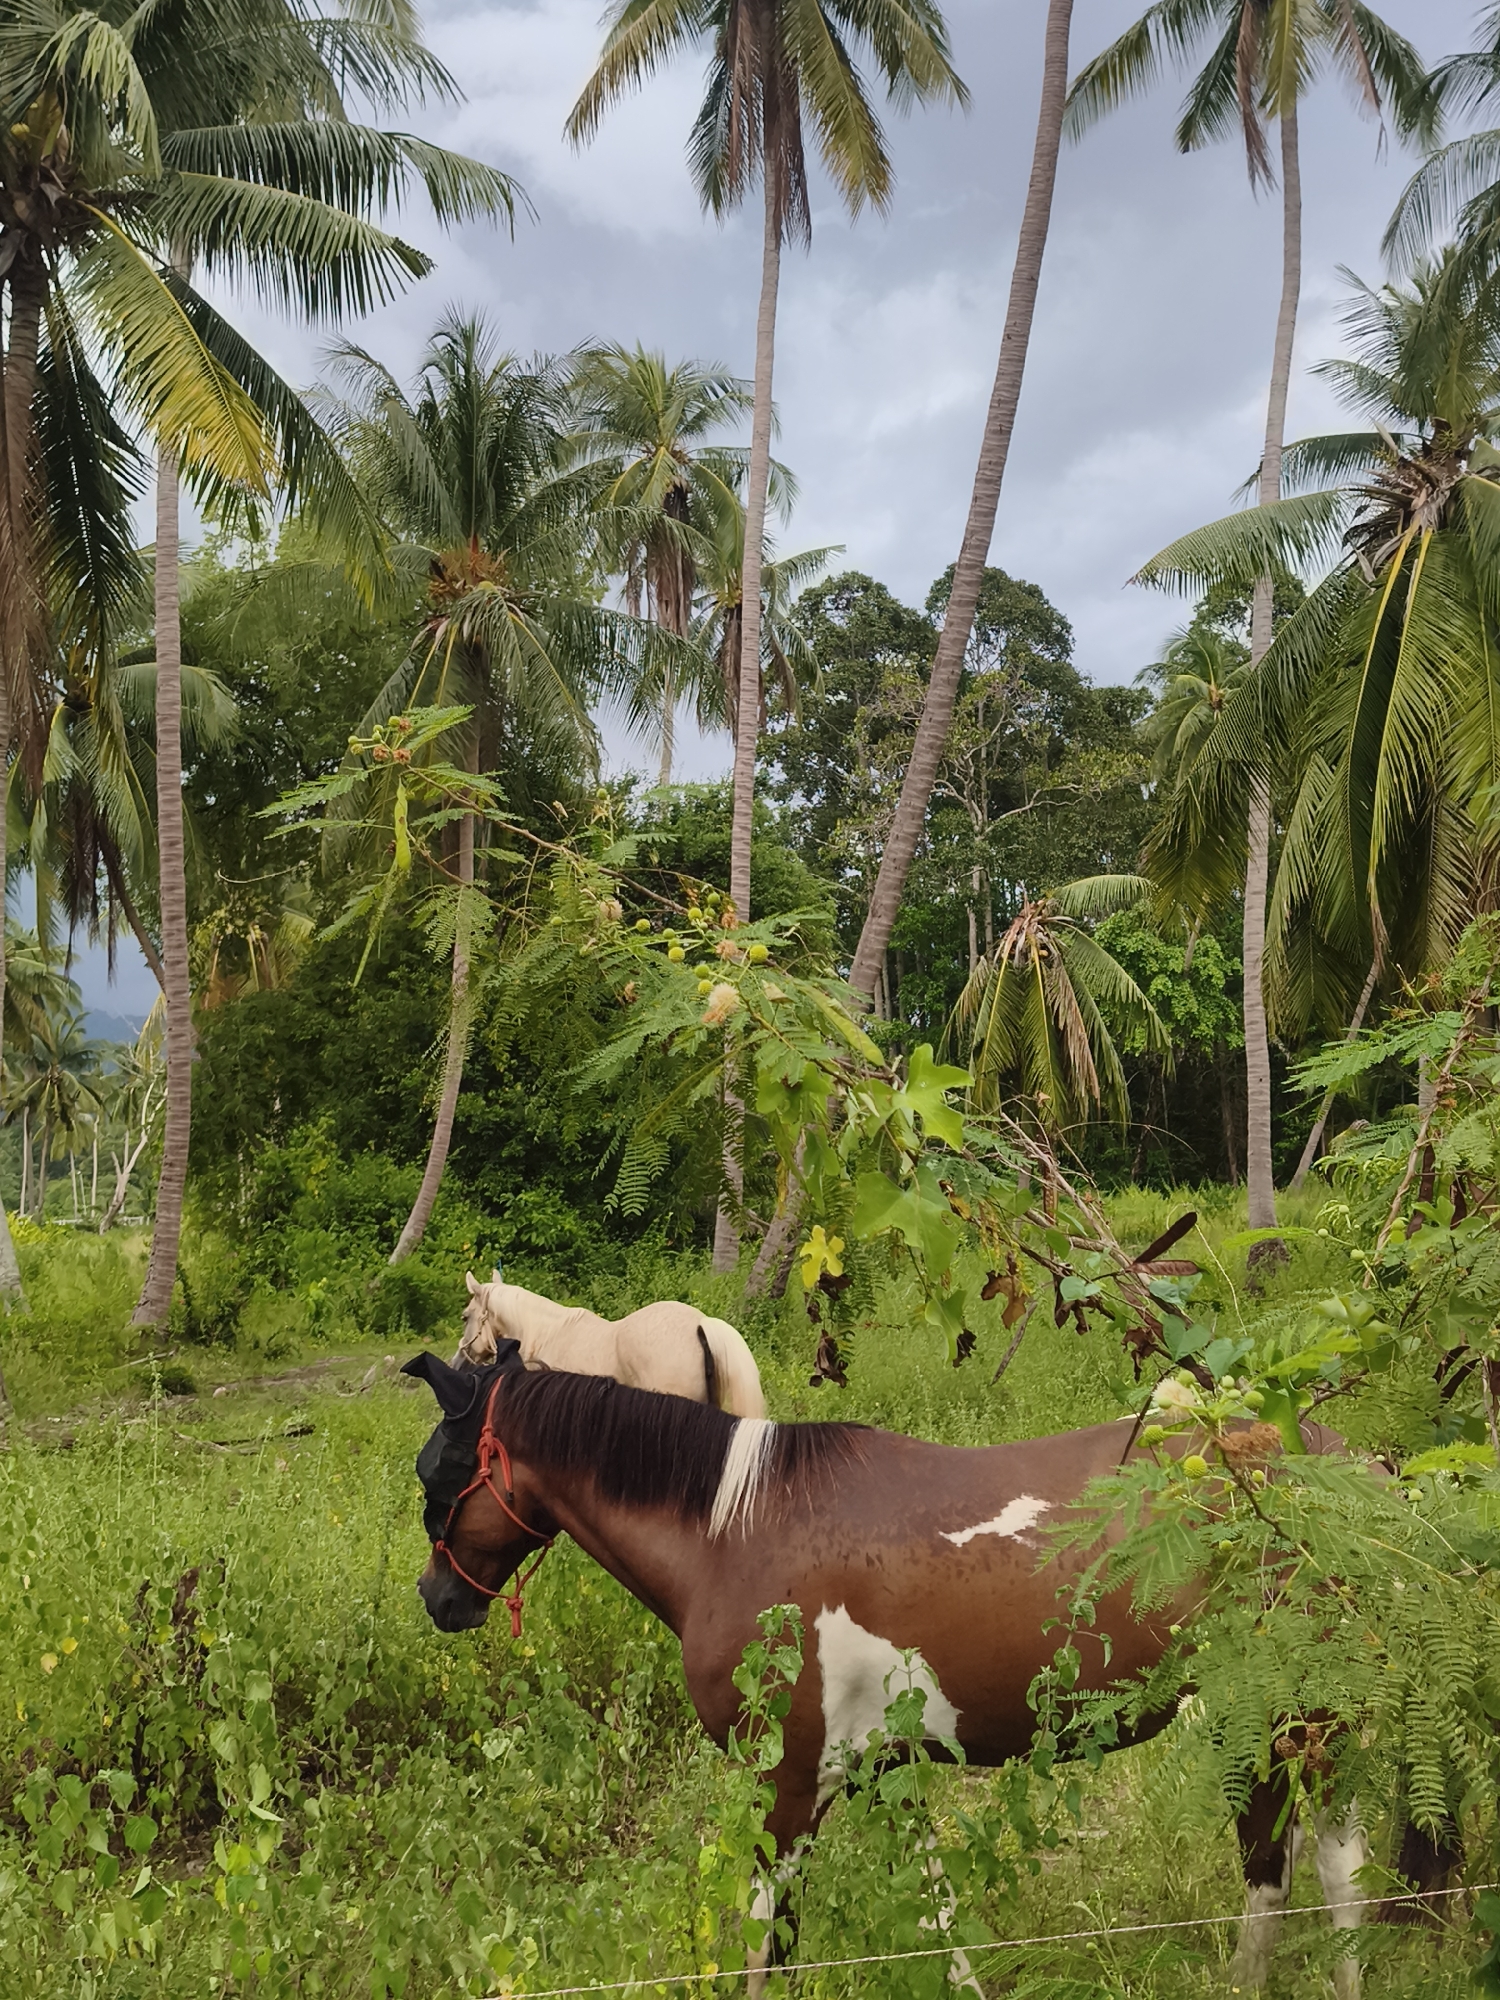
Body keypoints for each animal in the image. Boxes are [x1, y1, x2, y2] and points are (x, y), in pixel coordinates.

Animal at [403, 1350, 1371, 1999]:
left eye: (439, 1472)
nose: (438, 1597)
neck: (735, 1535)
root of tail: (1347, 1462)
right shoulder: (883, 1771)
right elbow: (939, 1924)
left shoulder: (787, 1788)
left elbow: (769, 1949)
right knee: (1315, 1870)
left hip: (1279, 1717)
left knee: (1302, 1876)